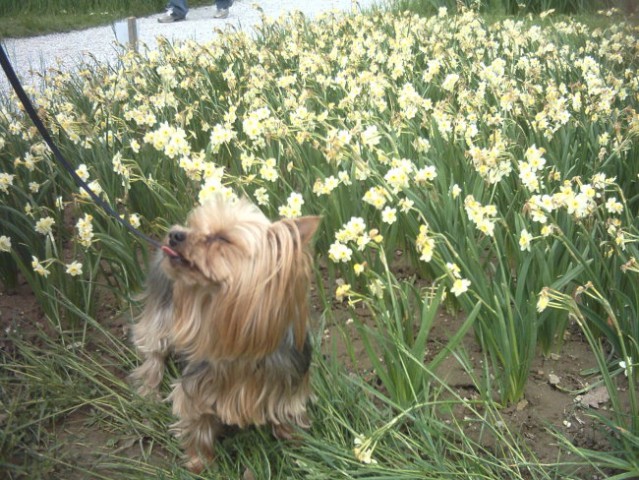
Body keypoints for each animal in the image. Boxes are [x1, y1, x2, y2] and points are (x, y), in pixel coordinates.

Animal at [130, 195, 320, 472]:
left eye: (222, 238)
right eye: (194, 226)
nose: (175, 234)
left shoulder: (289, 379)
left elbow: (287, 411)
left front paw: (299, 445)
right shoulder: (197, 389)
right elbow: (197, 423)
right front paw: (201, 463)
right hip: (161, 312)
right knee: (153, 348)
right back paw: (149, 389)